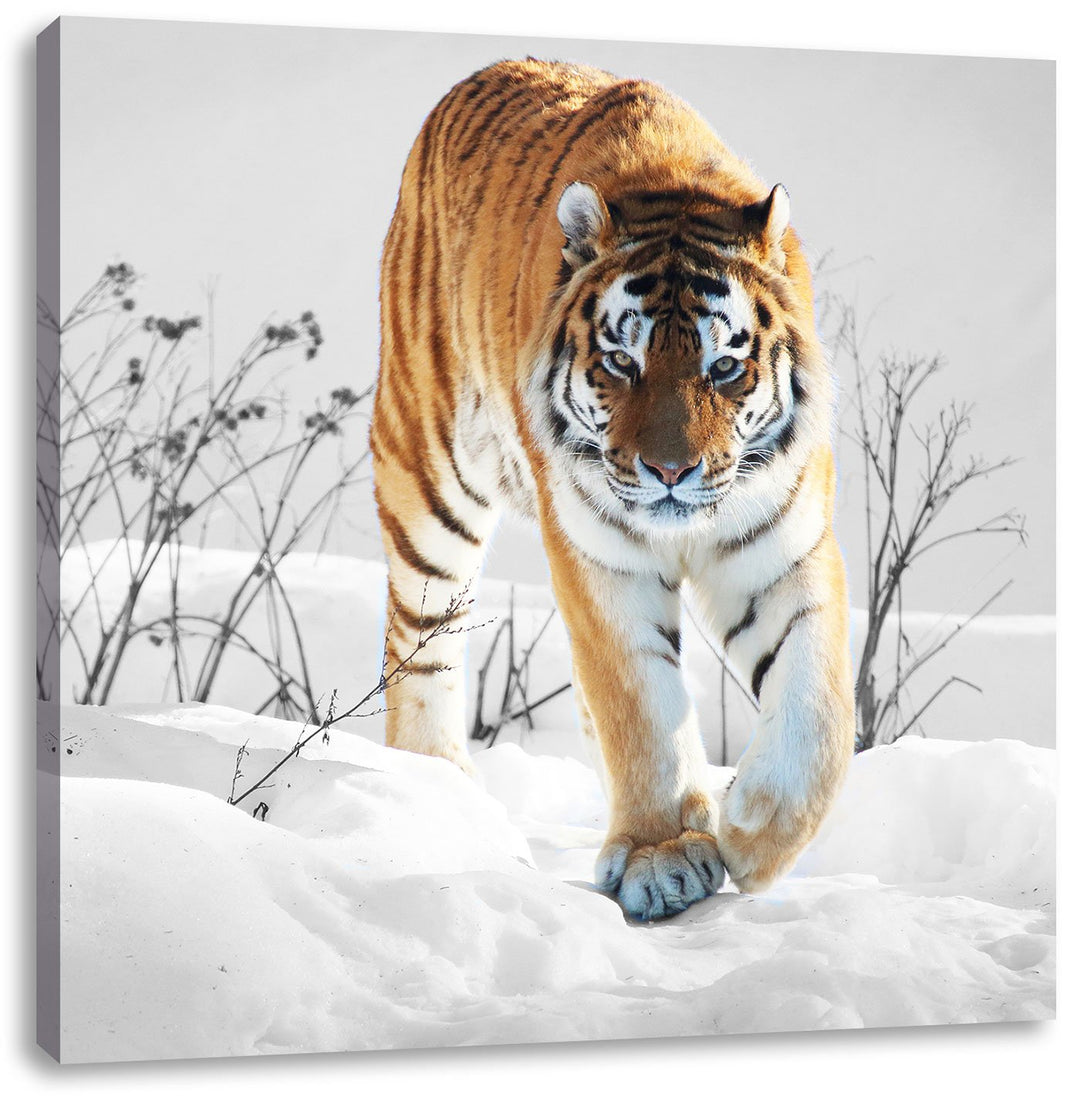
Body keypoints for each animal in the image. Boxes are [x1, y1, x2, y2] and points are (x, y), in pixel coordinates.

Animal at [371, 58, 855, 921]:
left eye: (723, 367)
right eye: (622, 364)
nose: (669, 471)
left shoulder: (782, 548)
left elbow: (820, 707)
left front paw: (754, 831)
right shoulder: (600, 557)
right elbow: (640, 704)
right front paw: (663, 856)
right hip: (427, 475)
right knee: (421, 640)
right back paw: (439, 788)